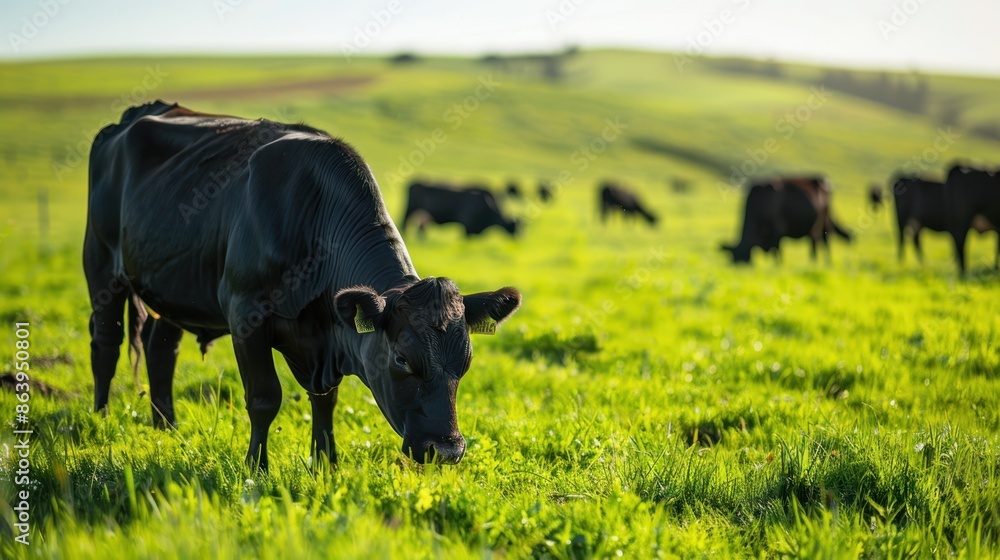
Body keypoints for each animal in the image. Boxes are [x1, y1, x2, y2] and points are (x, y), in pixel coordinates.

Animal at [86, 101, 522, 470]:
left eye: (466, 361)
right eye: (401, 359)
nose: (446, 450)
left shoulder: (323, 342)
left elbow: (326, 401)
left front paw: (326, 464)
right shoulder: (245, 313)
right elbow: (264, 397)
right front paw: (256, 468)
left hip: (171, 286)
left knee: (161, 348)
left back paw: (167, 427)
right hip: (102, 264)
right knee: (107, 341)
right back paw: (101, 420)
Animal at [721, 176, 851, 263]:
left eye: (743, 258)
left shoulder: (777, 231)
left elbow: (777, 251)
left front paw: (778, 266)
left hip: (820, 223)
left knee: (821, 240)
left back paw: (817, 262)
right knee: (820, 240)